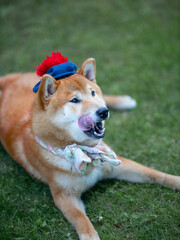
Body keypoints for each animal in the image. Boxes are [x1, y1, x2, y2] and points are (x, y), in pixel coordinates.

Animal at [0, 54, 179, 240]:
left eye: (92, 93)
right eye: (74, 100)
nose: (103, 112)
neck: (83, 151)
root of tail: (6, 82)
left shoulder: (117, 163)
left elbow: (154, 173)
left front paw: (176, 180)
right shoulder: (64, 195)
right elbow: (81, 220)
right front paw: (90, 236)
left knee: (106, 96)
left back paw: (123, 101)